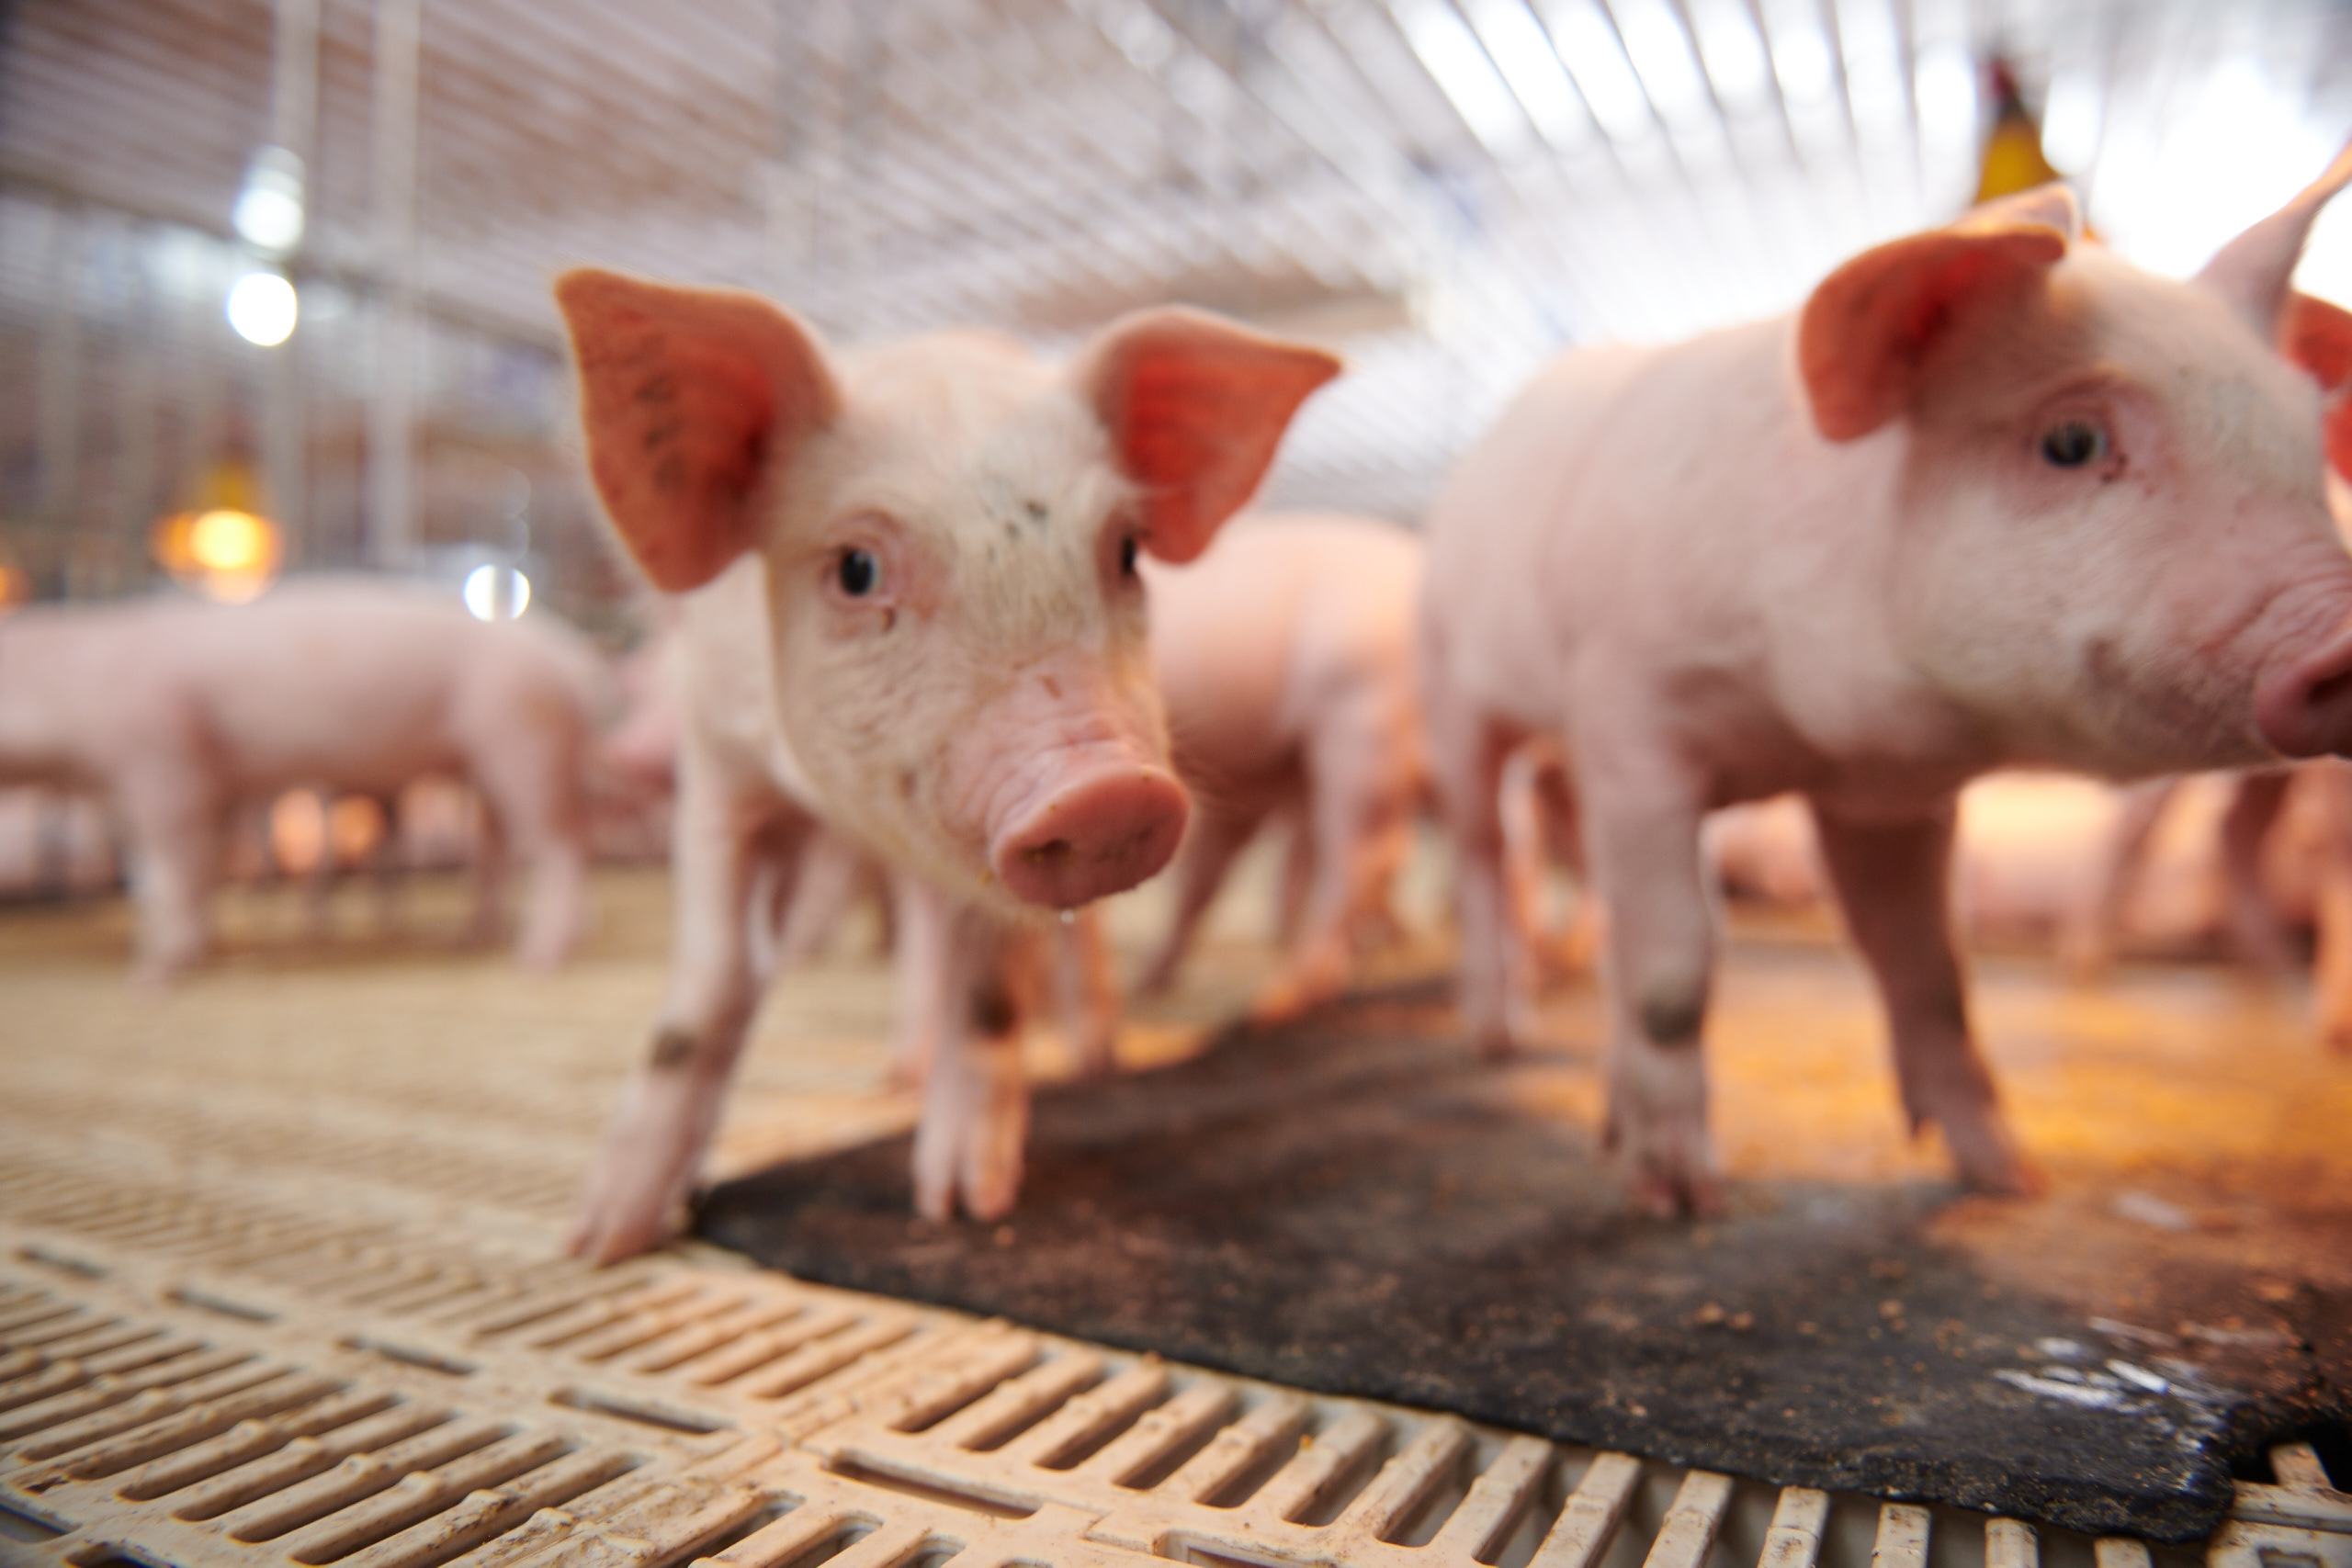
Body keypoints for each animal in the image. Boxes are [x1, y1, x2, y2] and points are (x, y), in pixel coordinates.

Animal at [0, 577, 603, 981]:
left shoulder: (165, 762)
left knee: (562, 845)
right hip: (485, 763)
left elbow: (169, 872)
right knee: (495, 857)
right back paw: (467, 942)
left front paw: (151, 979)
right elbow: (193, 871)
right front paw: (201, 950)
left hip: (523, 739)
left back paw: (536, 961)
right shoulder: (207, 786)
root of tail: (571, 656)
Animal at [553, 269, 1337, 1263]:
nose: (1104, 792)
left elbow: (991, 988)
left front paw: (964, 1207)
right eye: (855, 568)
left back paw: (1096, 1057)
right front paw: (602, 1239)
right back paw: (900, 1069)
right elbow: (715, 983)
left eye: (1125, 552)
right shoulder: (718, 767)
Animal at [1423, 149, 2352, 1215]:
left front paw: (2011, 1180)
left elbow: (1929, 967)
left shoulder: (1885, 797)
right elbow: (1675, 970)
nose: (2343, 628)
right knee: (1488, 852)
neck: (1801, 730)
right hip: (1454, 687)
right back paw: (1499, 1040)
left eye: (2303, 446)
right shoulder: (1630, 715)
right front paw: (1680, 1197)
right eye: (2071, 442)